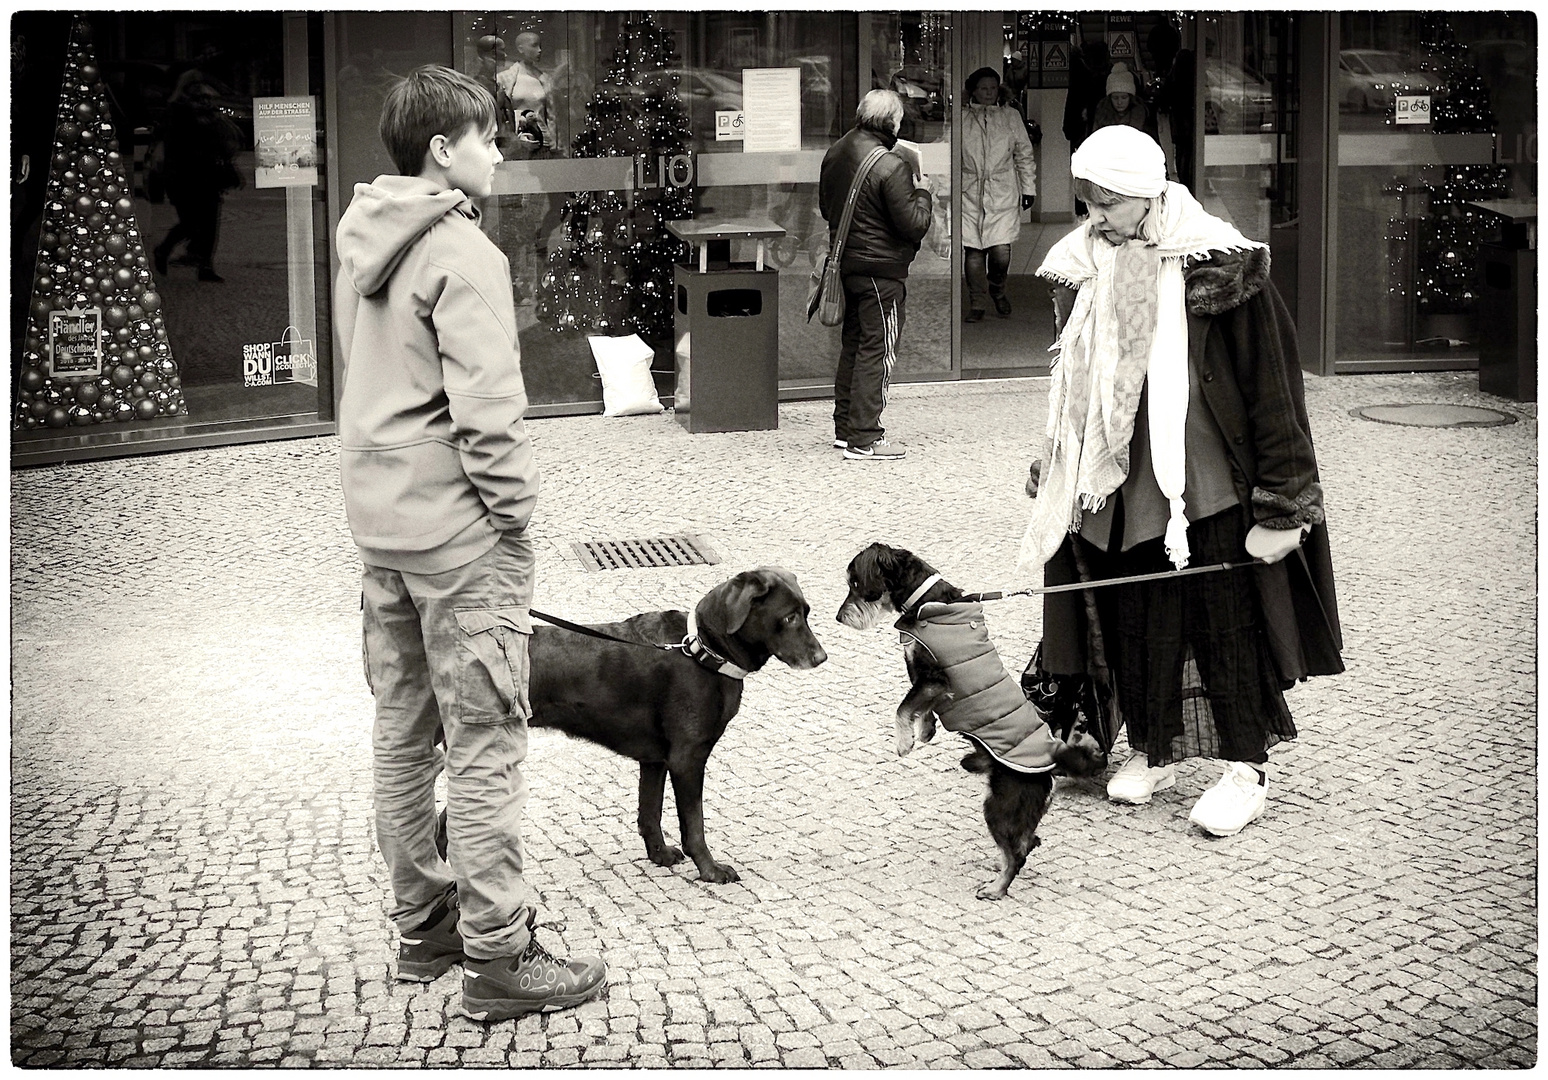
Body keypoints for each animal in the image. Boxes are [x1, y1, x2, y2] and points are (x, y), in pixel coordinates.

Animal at [442, 569, 829, 878]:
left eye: (807, 614)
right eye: (790, 618)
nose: (821, 657)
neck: (703, 651)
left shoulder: (655, 759)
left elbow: (650, 814)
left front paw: (660, 856)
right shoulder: (687, 758)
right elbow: (694, 825)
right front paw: (710, 870)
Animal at [842, 538, 1108, 897]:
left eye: (856, 584)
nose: (839, 616)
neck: (927, 600)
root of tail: (1053, 763)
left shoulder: (934, 679)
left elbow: (903, 707)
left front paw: (904, 741)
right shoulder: (932, 686)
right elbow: (922, 708)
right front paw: (924, 731)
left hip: (999, 806)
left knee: (1017, 853)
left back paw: (996, 888)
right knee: (1029, 842)